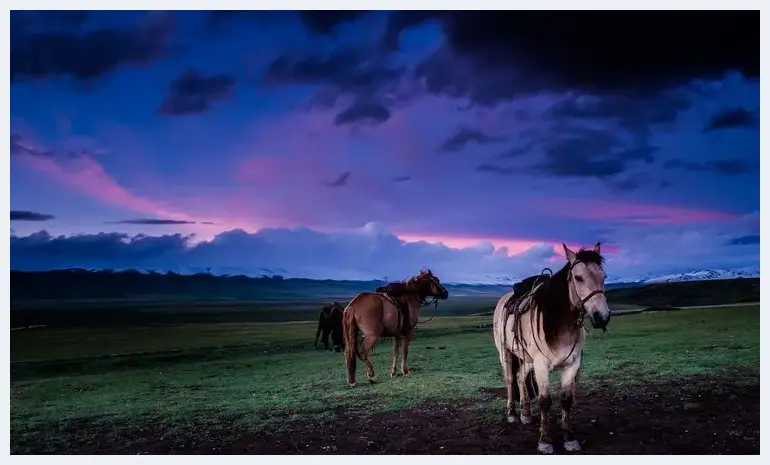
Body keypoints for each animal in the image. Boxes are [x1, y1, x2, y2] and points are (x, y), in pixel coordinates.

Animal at [492, 243, 612, 454]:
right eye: (578, 277)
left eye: (603, 276)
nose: (602, 316)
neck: (560, 324)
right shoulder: (541, 365)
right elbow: (545, 401)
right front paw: (545, 440)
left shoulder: (572, 364)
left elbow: (566, 400)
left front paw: (570, 438)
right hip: (505, 353)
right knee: (510, 379)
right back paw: (512, 413)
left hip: (527, 358)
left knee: (520, 377)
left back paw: (525, 412)